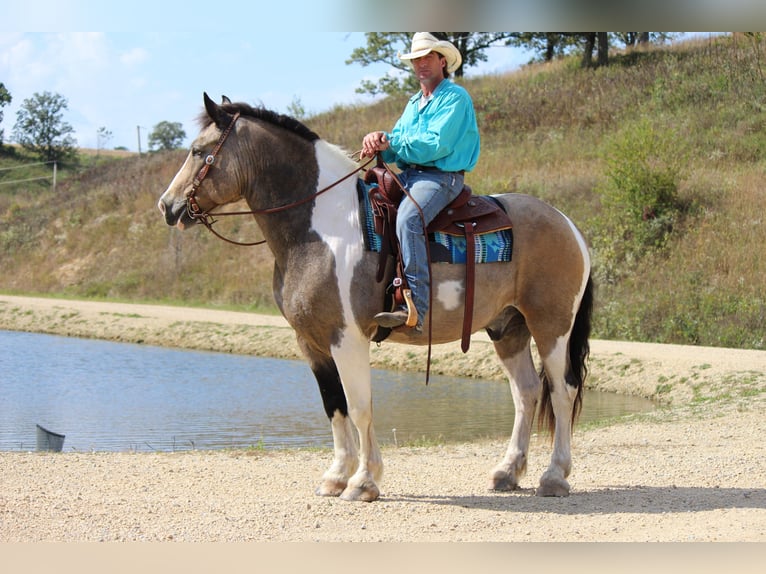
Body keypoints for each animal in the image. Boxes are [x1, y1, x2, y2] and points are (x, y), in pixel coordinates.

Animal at [159, 92, 596, 502]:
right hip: (508, 328)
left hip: (551, 327)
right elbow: (334, 405)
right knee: (526, 392)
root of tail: (568, 223)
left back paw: (554, 476)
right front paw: (336, 476)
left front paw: (364, 482)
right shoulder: (311, 342)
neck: (321, 228)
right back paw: (507, 472)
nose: (167, 206)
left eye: (198, 151)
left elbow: (359, 406)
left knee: (562, 391)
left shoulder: (347, 338)